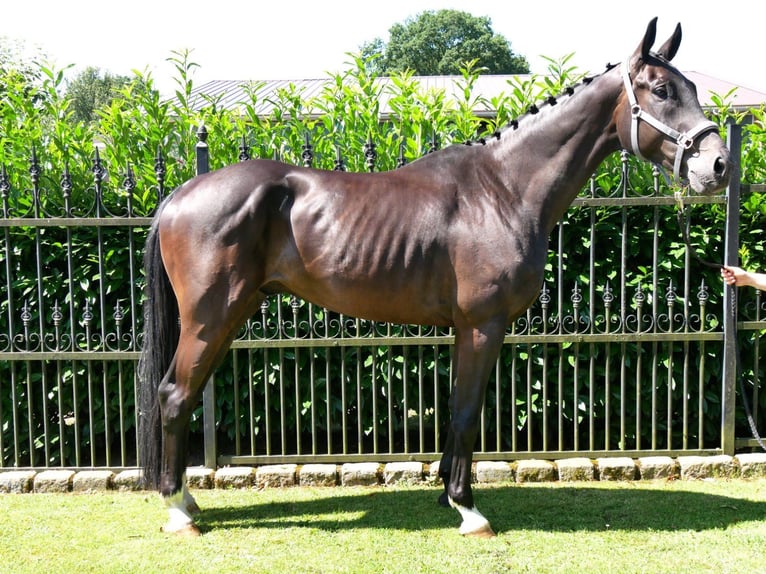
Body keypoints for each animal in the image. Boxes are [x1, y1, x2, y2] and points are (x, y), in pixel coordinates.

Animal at [138, 18, 732, 540]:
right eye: (661, 90)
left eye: (692, 87)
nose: (719, 165)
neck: (504, 189)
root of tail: (179, 194)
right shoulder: (482, 325)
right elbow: (466, 413)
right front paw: (469, 510)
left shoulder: (464, 330)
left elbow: (454, 412)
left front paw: (447, 493)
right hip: (211, 318)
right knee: (174, 394)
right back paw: (180, 512)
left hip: (229, 316)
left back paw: (187, 499)